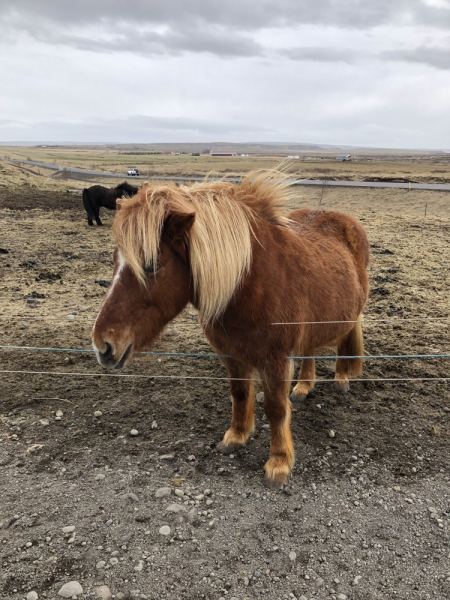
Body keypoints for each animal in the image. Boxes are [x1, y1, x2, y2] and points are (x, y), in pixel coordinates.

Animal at [91, 171, 370, 490]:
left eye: (151, 266)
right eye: (115, 260)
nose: (102, 345)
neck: (249, 283)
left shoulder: (275, 361)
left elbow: (276, 408)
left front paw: (279, 463)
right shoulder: (231, 355)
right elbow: (239, 394)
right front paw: (236, 437)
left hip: (350, 314)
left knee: (344, 342)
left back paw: (342, 379)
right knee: (309, 349)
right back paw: (303, 387)